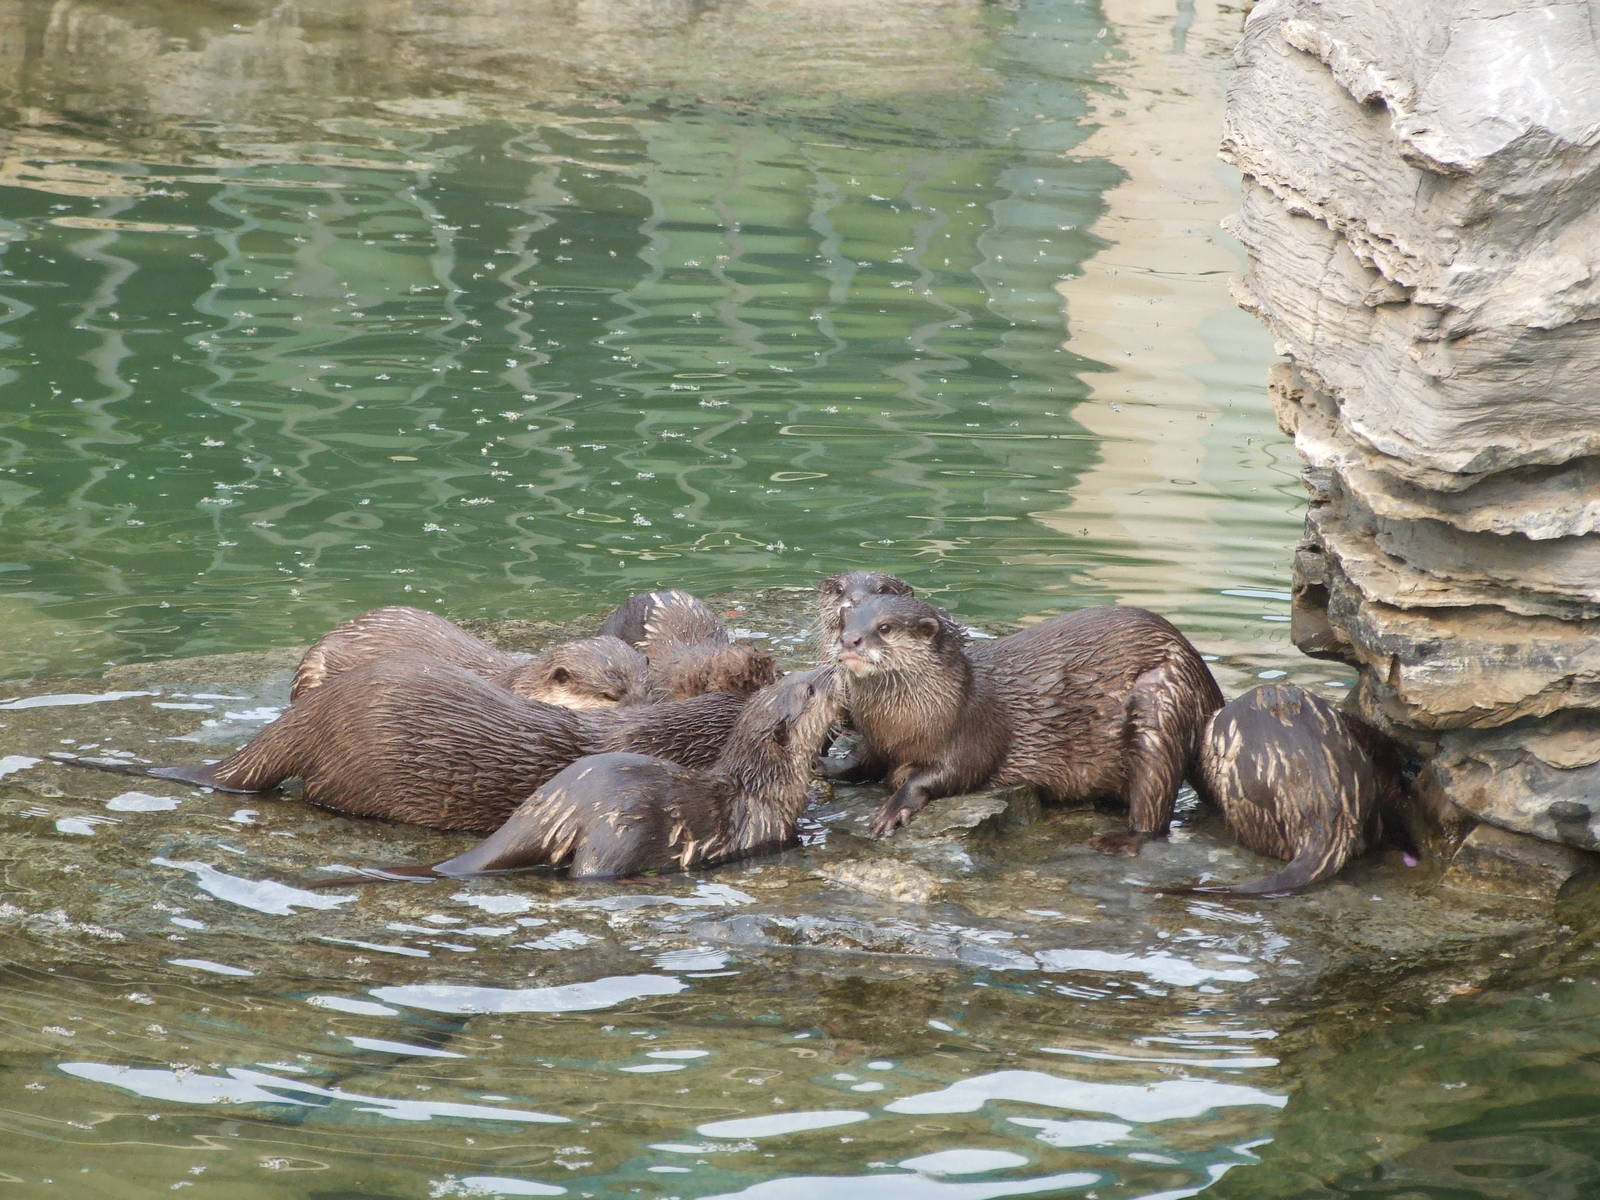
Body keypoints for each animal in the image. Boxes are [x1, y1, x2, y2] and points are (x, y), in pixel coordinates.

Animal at [312, 666, 839, 884]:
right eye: (811, 689)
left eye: (800, 680)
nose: (833, 667)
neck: (762, 787)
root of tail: (553, 807)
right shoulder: (765, 826)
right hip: (616, 836)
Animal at [837, 595, 1222, 852]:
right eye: (845, 623)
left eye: (884, 628)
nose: (849, 640)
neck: (900, 725)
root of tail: (1201, 671)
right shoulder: (875, 740)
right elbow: (862, 761)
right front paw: (830, 768)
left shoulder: (973, 730)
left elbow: (947, 775)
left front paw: (894, 805)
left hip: (1161, 710)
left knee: (1154, 805)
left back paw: (1121, 839)